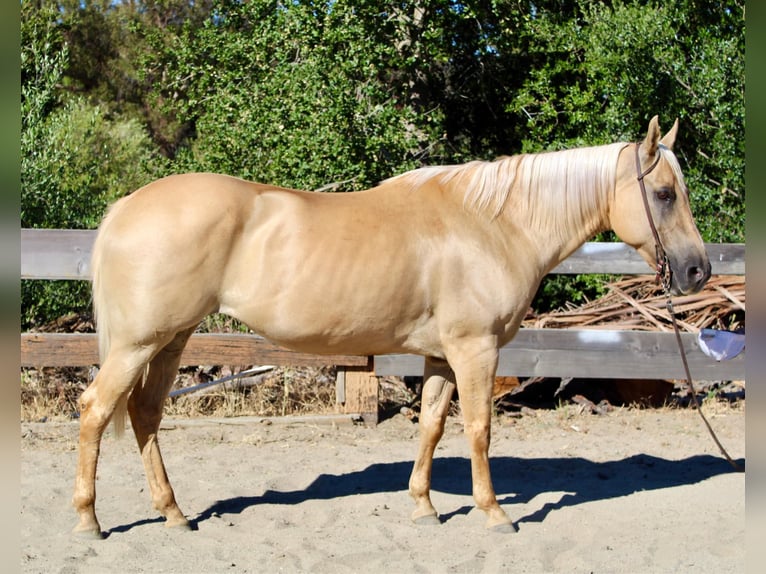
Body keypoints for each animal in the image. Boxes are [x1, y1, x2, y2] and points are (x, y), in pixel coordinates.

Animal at [73, 117, 712, 540]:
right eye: (663, 193)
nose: (697, 270)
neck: (494, 225)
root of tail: (126, 205)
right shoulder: (476, 351)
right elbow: (479, 430)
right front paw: (493, 513)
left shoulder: (441, 357)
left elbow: (430, 426)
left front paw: (424, 507)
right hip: (137, 344)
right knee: (97, 410)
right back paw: (90, 521)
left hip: (170, 340)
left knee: (144, 413)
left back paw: (174, 514)